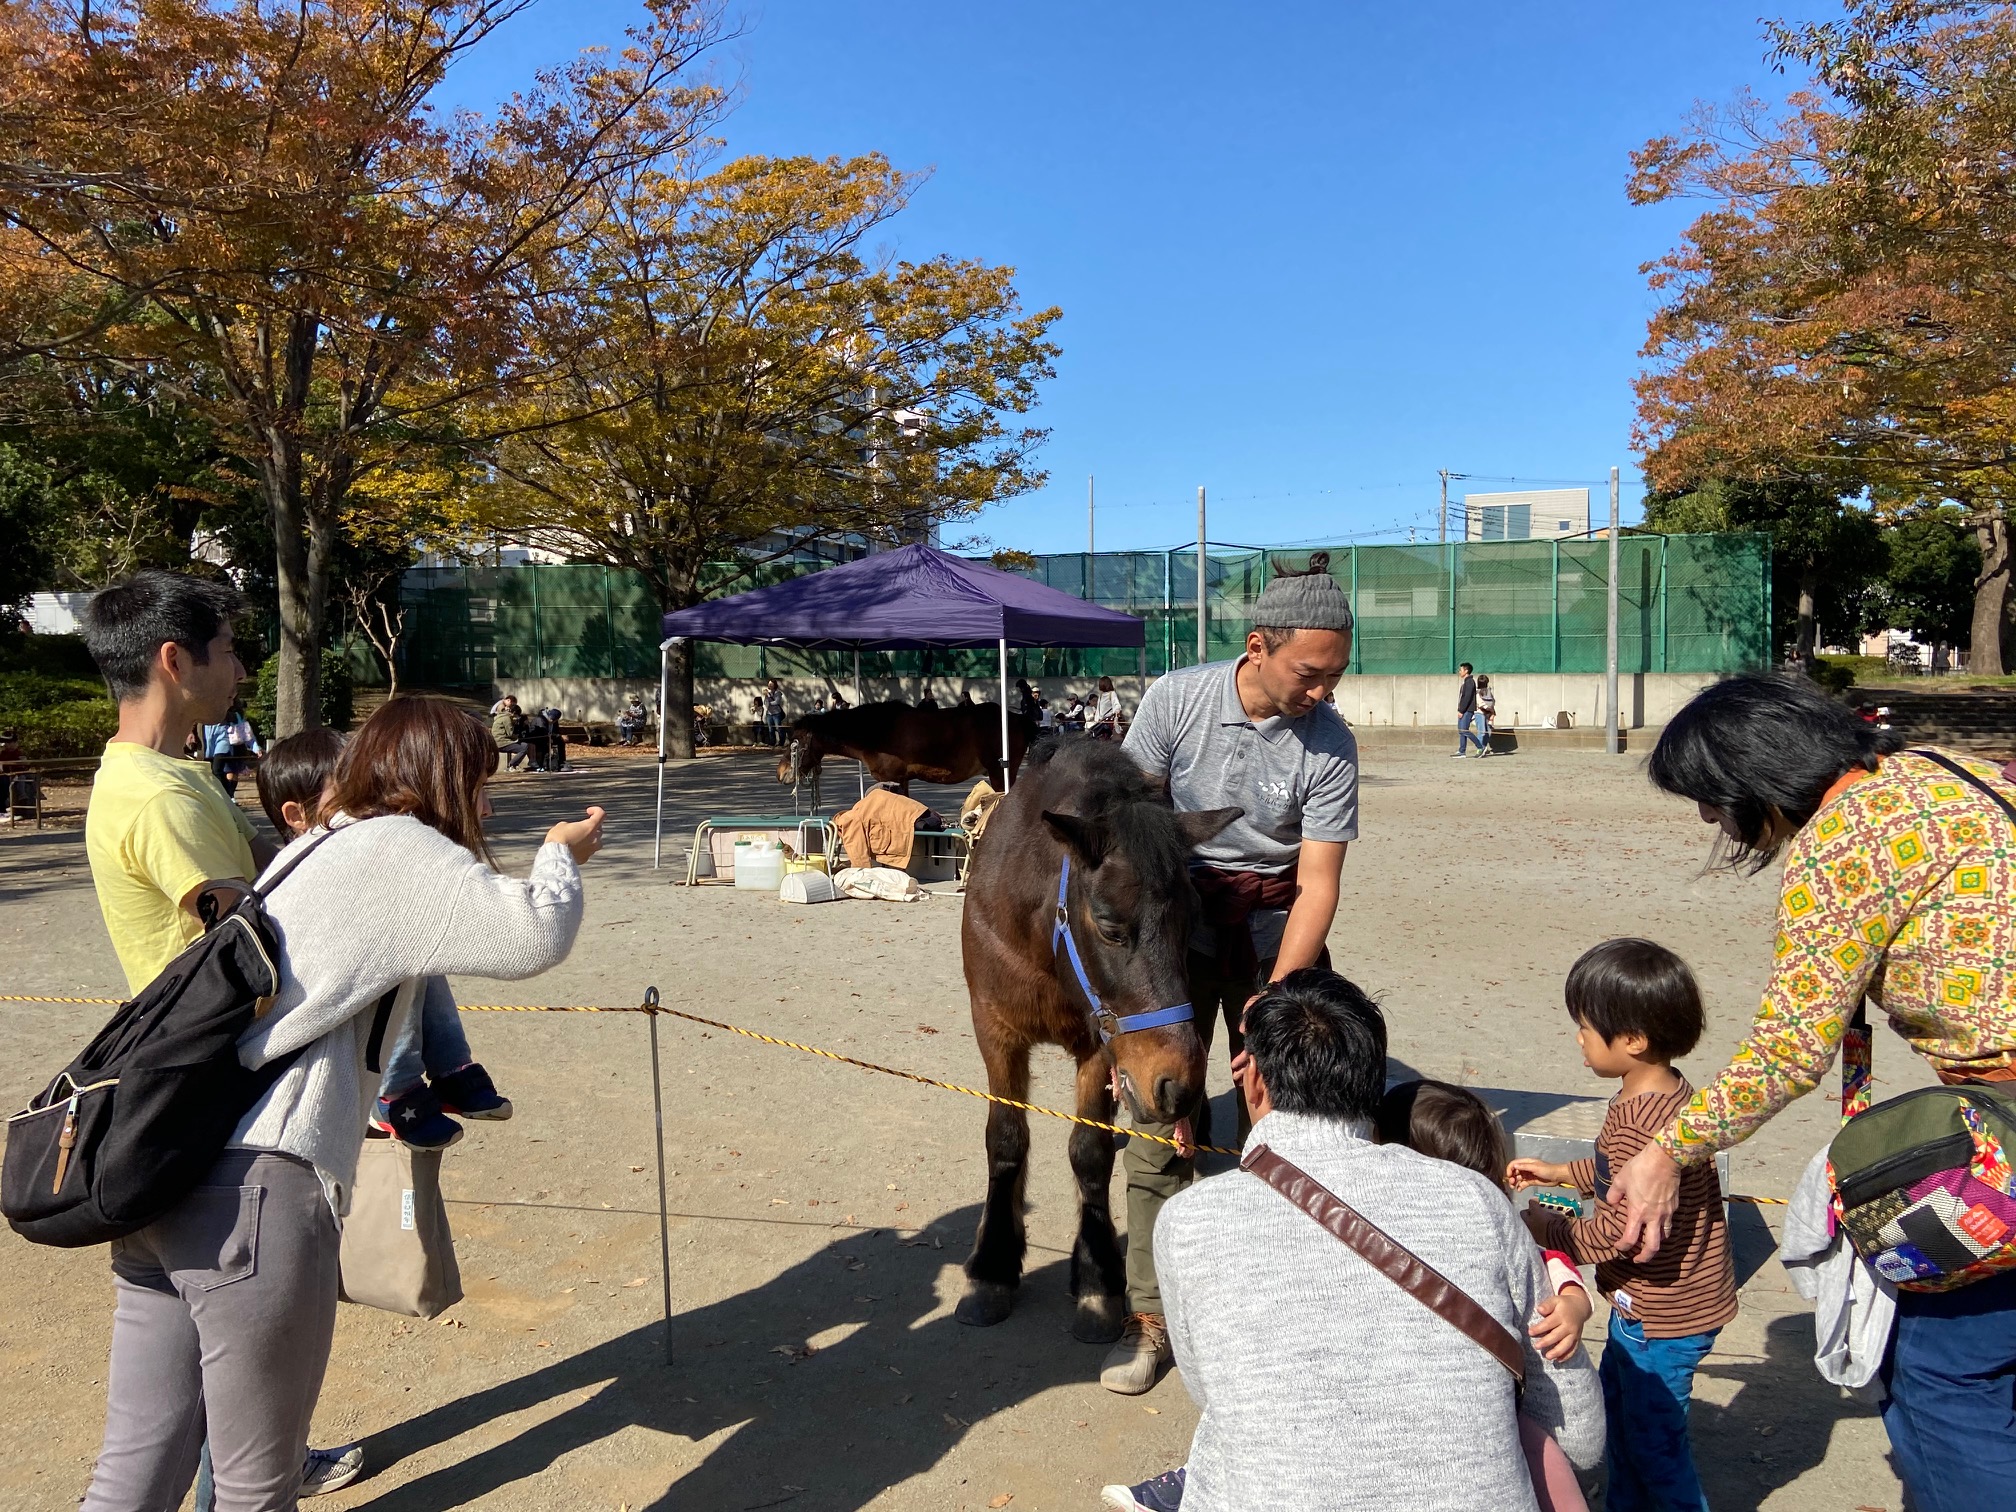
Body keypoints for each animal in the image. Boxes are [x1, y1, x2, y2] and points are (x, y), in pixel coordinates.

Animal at [778, 697, 1040, 794]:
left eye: (795, 741)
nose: (781, 772)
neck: (876, 731)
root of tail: (1019, 718)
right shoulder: (901, 780)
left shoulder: (894, 778)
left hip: (1000, 774)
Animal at [951, 741, 1233, 1346]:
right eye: (1108, 927)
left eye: (1193, 921)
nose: (1176, 1084)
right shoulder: (996, 1034)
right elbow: (1005, 1141)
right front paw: (992, 1267)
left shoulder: (1101, 1049)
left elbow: (1090, 1151)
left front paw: (1098, 1279)